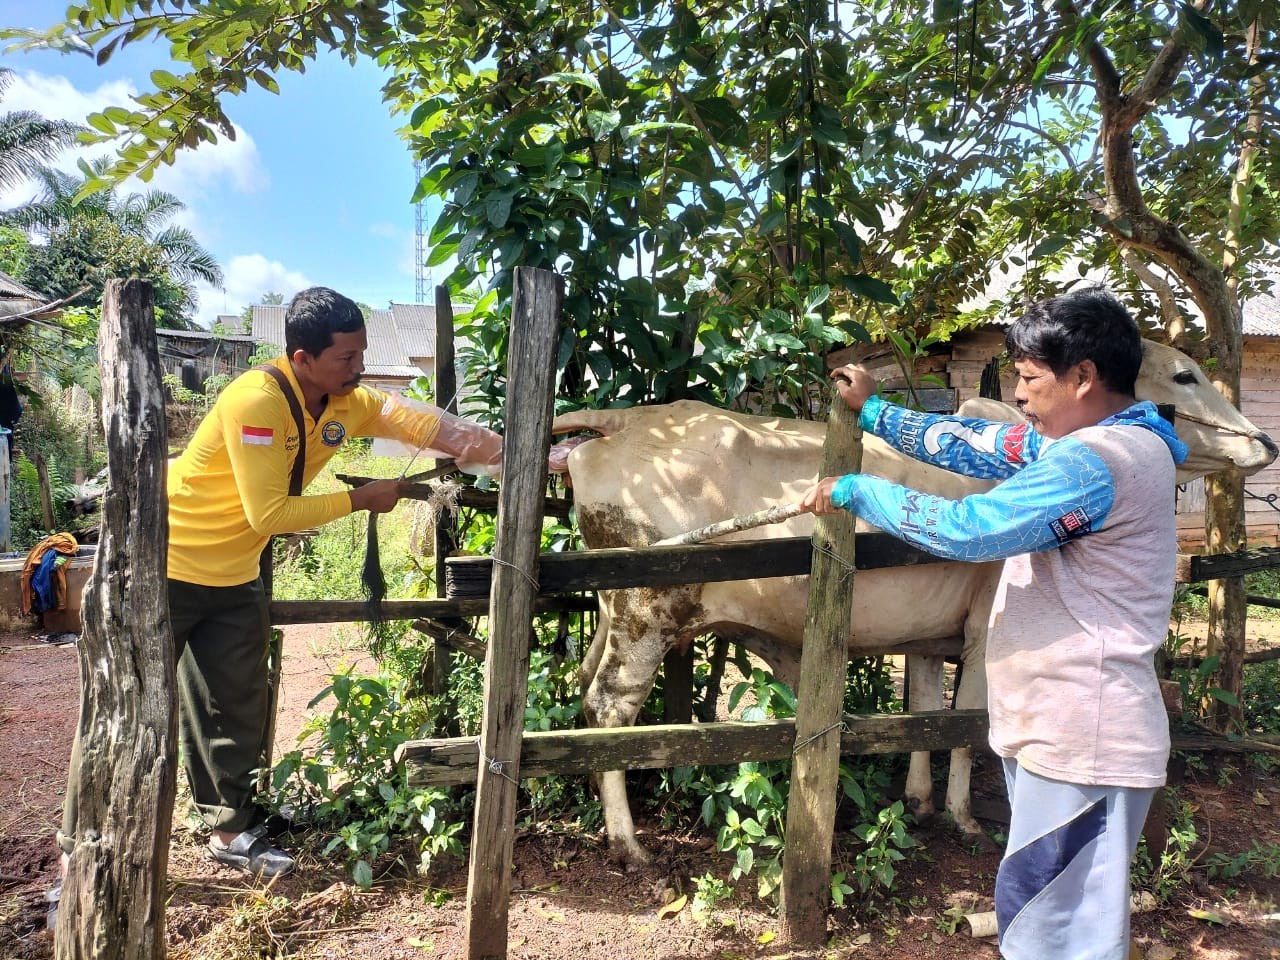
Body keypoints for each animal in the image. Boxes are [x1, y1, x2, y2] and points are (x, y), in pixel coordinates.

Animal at [547, 343, 1269, 870]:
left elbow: (922, 711)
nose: (1265, 442)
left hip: (613, 612)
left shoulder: (926, 636)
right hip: (648, 611)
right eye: (1184, 373)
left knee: (583, 690)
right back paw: (626, 843)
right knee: (608, 708)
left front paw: (919, 802)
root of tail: (627, 419)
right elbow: (966, 724)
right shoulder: (983, 634)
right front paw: (964, 816)